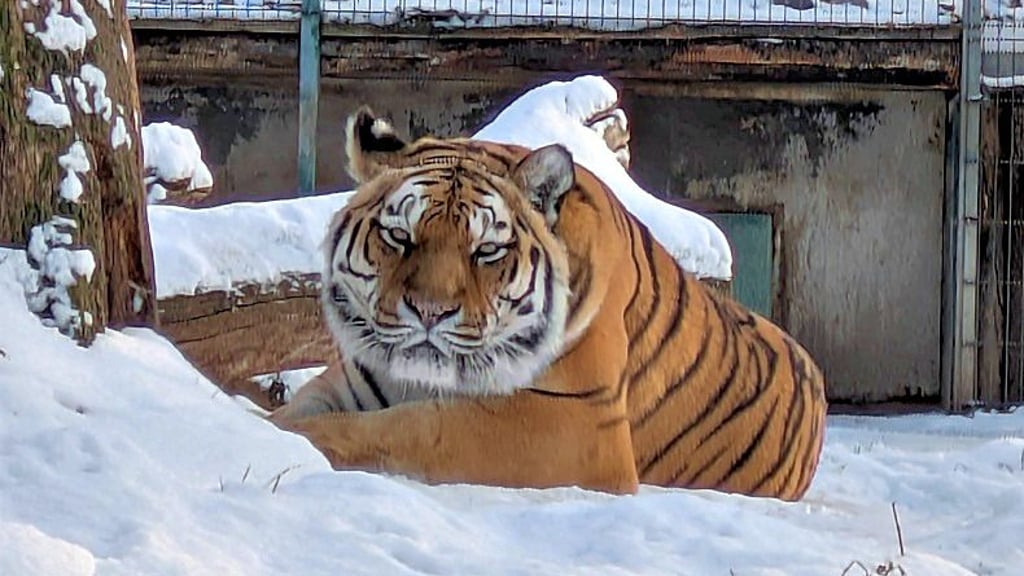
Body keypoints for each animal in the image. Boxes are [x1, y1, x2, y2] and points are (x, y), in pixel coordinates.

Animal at [268, 106, 828, 501]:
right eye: (399, 237)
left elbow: (410, 429)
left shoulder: (570, 424)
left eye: (486, 250)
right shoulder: (352, 382)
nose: (429, 313)